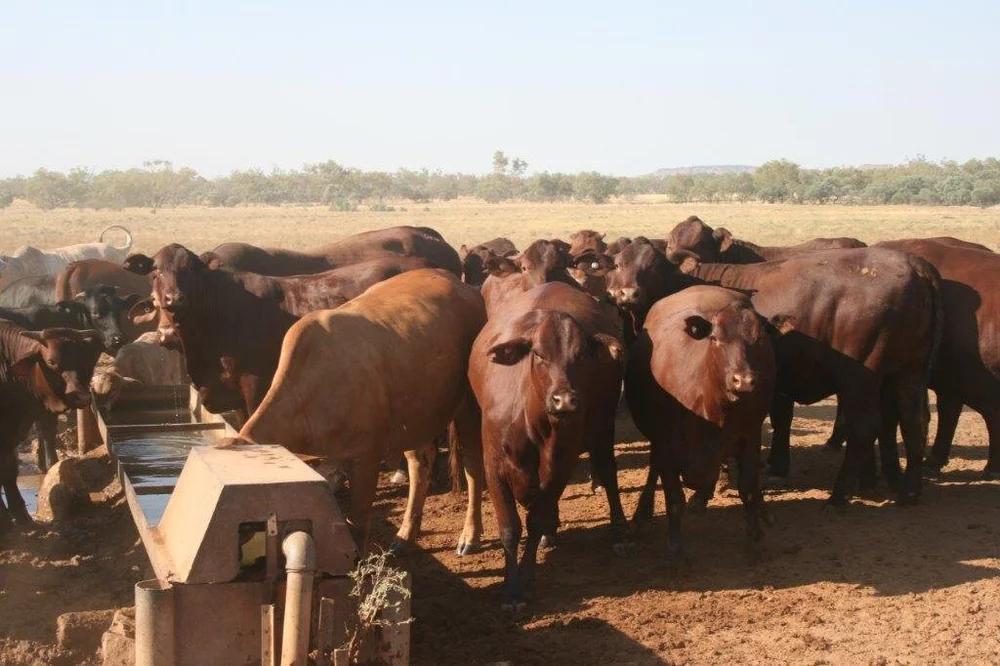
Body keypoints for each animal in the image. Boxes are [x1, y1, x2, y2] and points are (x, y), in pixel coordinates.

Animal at [0, 324, 105, 535]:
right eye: (51, 362)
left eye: (83, 358)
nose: (81, 396)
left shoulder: (10, 434)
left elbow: (9, 471)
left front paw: (20, 516)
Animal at [218, 269, 487, 557]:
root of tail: (459, 282)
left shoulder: (367, 455)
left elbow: (358, 522)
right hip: (416, 416)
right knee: (420, 463)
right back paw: (405, 536)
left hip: (468, 407)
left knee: (472, 464)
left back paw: (469, 536)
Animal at [469, 281, 626, 610]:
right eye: (539, 355)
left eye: (581, 354)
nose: (564, 400)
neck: (533, 424)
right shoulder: (495, 470)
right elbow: (510, 528)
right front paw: (510, 589)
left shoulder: (561, 466)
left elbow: (536, 520)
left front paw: (525, 582)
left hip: (604, 426)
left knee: (608, 472)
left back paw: (620, 531)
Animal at [608, 246, 942, 506]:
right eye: (619, 263)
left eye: (653, 265)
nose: (627, 294)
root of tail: (917, 266)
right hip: (909, 374)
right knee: (914, 423)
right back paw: (909, 491)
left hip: (860, 377)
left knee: (865, 427)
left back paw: (840, 495)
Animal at [625, 286, 778, 566]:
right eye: (715, 339)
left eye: (758, 341)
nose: (744, 381)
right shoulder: (666, 445)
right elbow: (674, 498)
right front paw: (675, 548)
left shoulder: (750, 435)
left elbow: (748, 487)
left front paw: (755, 536)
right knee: (654, 471)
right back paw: (643, 514)